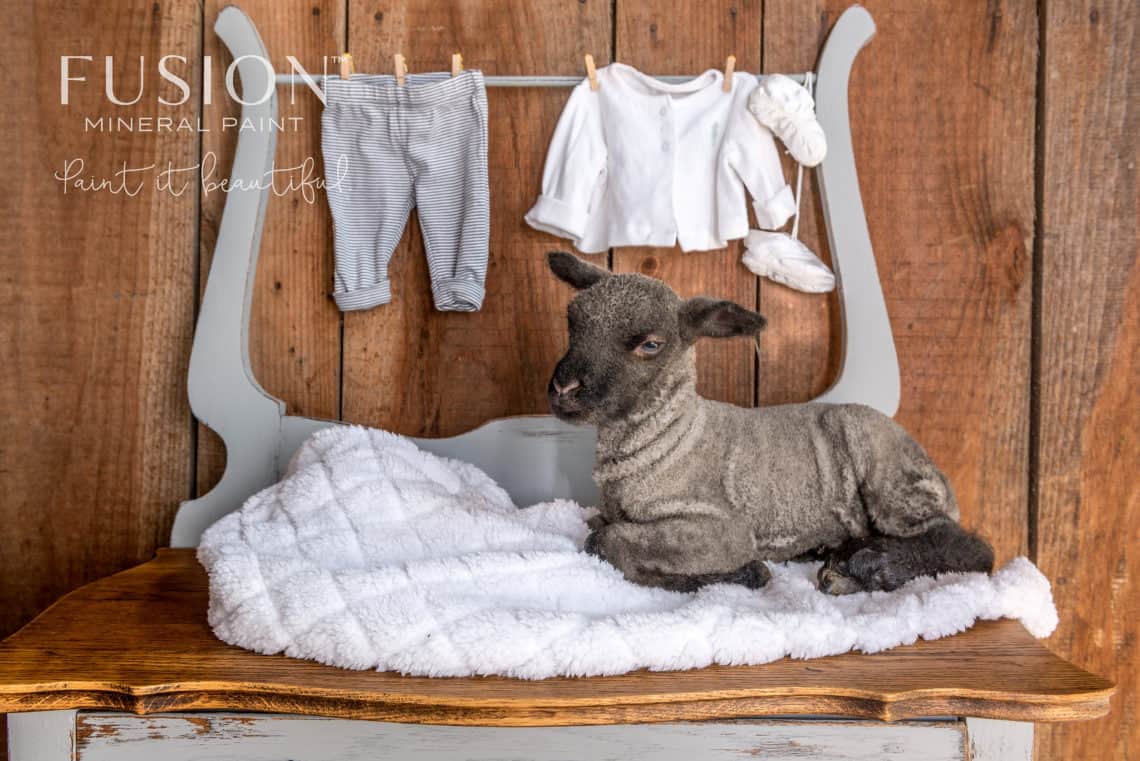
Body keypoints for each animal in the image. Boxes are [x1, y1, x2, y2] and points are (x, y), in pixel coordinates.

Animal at [545, 251, 994, 594]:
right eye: (572, 322)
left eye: (650, 345)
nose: (564, 388)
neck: (668, 439)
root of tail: (934, 470)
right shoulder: (608, 513)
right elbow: (599, 529)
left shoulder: (721, 528)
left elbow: (605, 542)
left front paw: (742, 573)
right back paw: (836, 554)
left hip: (888, 471)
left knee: (969, 545)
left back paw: (870, 567)